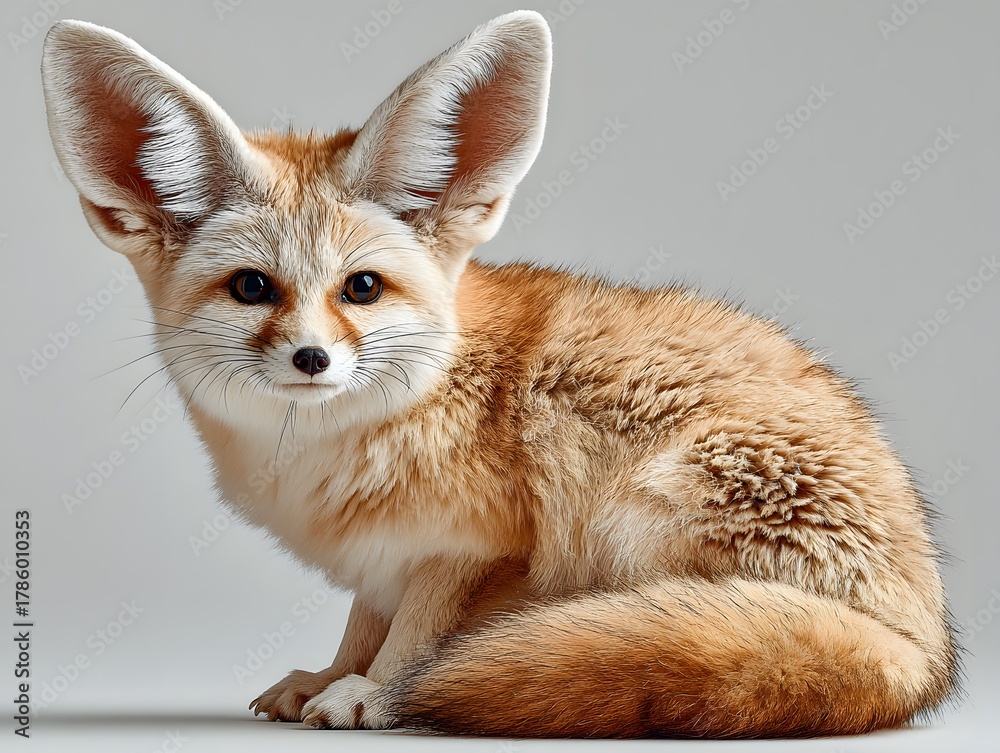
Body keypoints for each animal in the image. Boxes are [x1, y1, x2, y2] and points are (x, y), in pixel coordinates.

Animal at [41, 11, 959, 738]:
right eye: (252, 288)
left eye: (361, 288)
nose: (312, 358)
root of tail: (922, 648)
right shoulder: (385, 556)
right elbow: (362, 624)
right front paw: (330, 676)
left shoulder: (475, 548)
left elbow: (414, 638)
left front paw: (377, 696)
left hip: (639, 505)